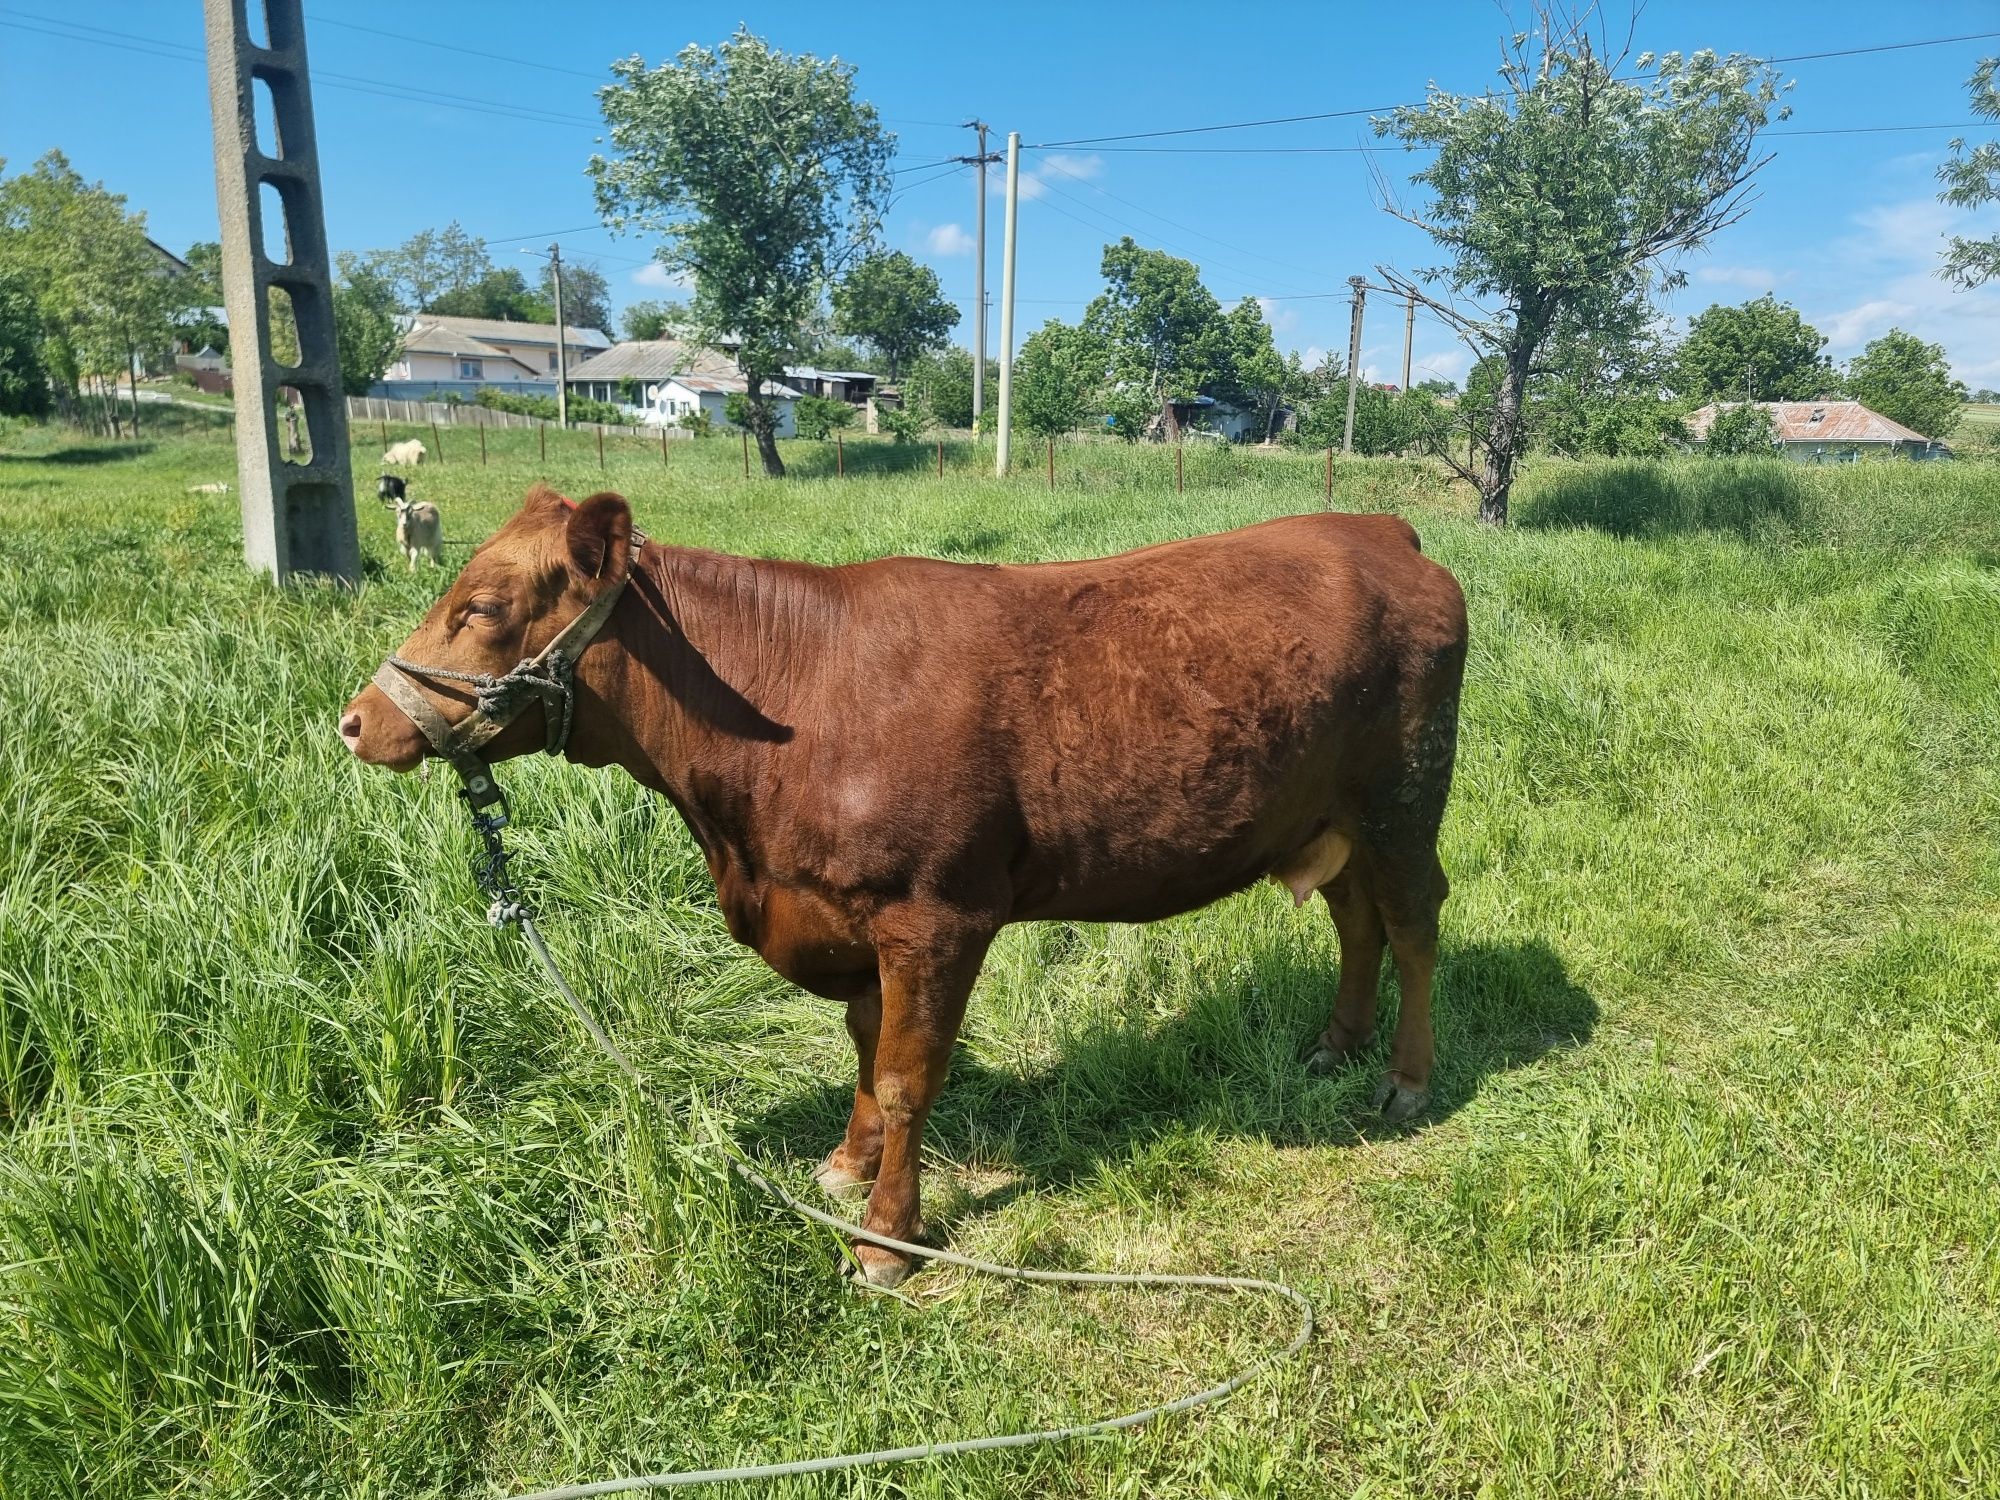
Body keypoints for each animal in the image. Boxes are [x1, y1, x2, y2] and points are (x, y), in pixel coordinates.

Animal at [340, 488, 1472, 1288]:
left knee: (1414, 923)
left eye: (484, 607)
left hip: (1404, 799)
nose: (357, 720)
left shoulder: (939, 915)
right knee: (1357, 921)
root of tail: (1376, 530)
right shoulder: (846, 915)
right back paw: (1333, 1044)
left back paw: (1406, 1078)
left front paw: (887, 1238)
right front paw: (846, 1164)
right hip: (1327, 817)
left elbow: (905, 1072)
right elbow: (863, 1043)